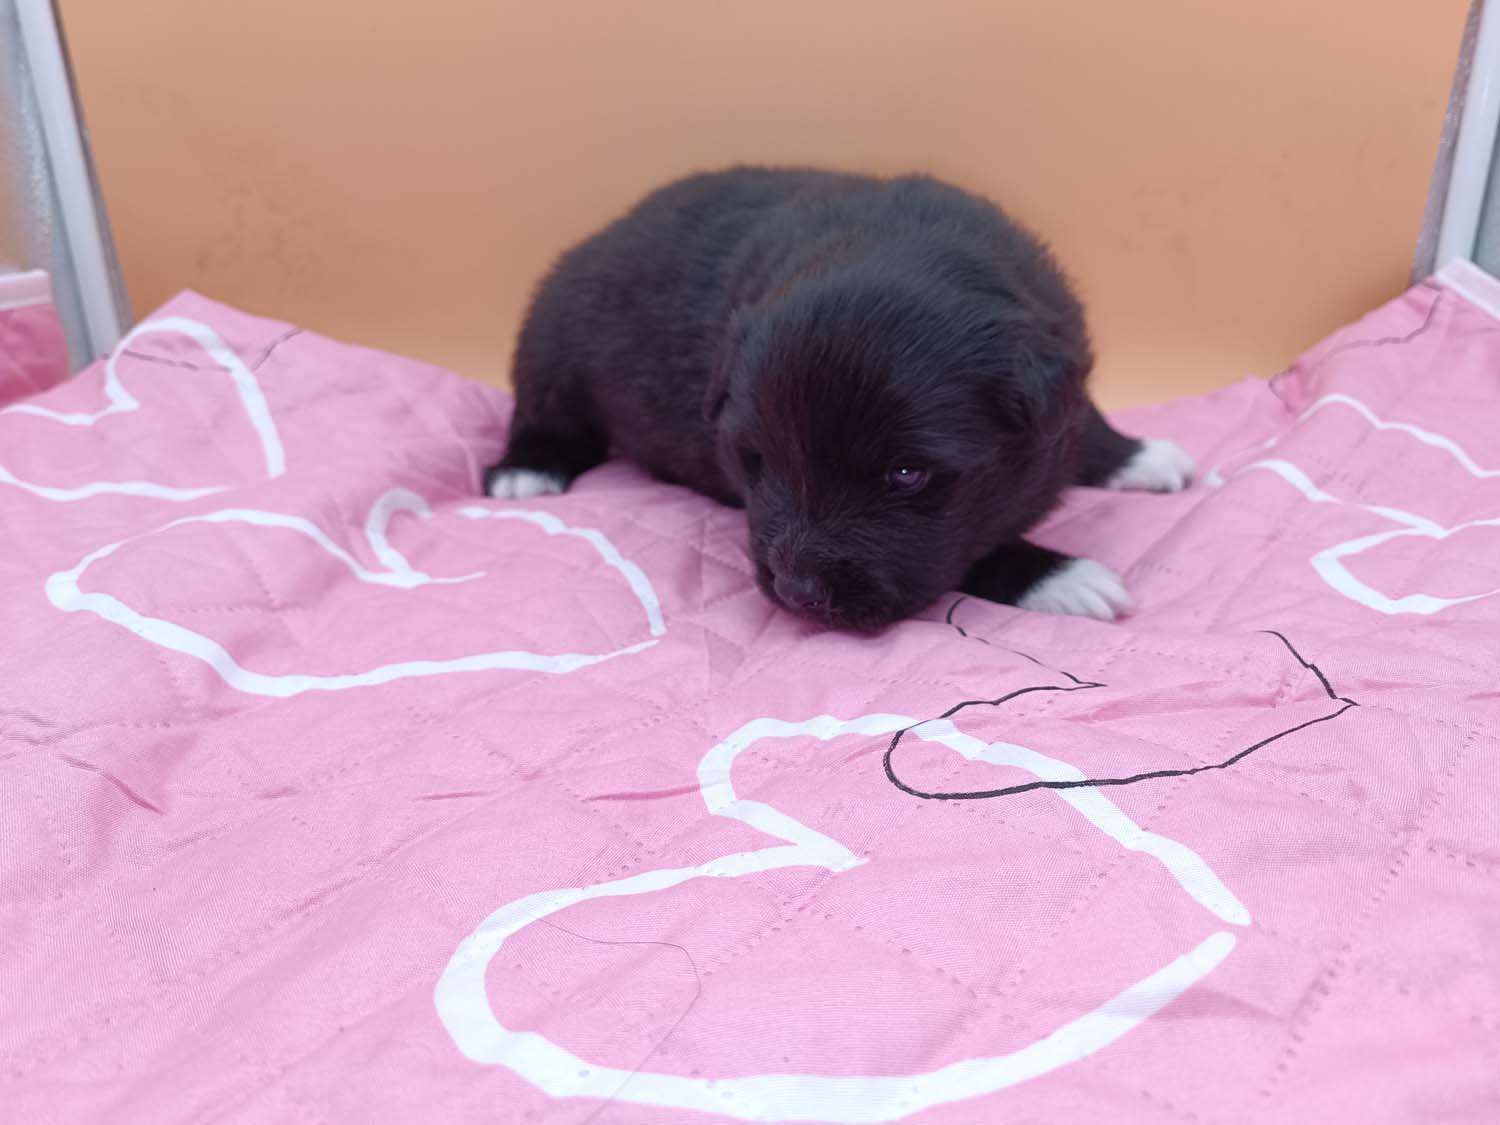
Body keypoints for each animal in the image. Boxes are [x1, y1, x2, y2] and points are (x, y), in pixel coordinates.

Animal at [484, 166, 1192, 630]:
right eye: (757, 461)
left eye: (906, 474)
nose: (800, 592)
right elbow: (973, 548)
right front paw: (1062, 576)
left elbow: (1080, 418)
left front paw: (1137, 455)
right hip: (552, 337)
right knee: (541, 408)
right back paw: (525, 470)